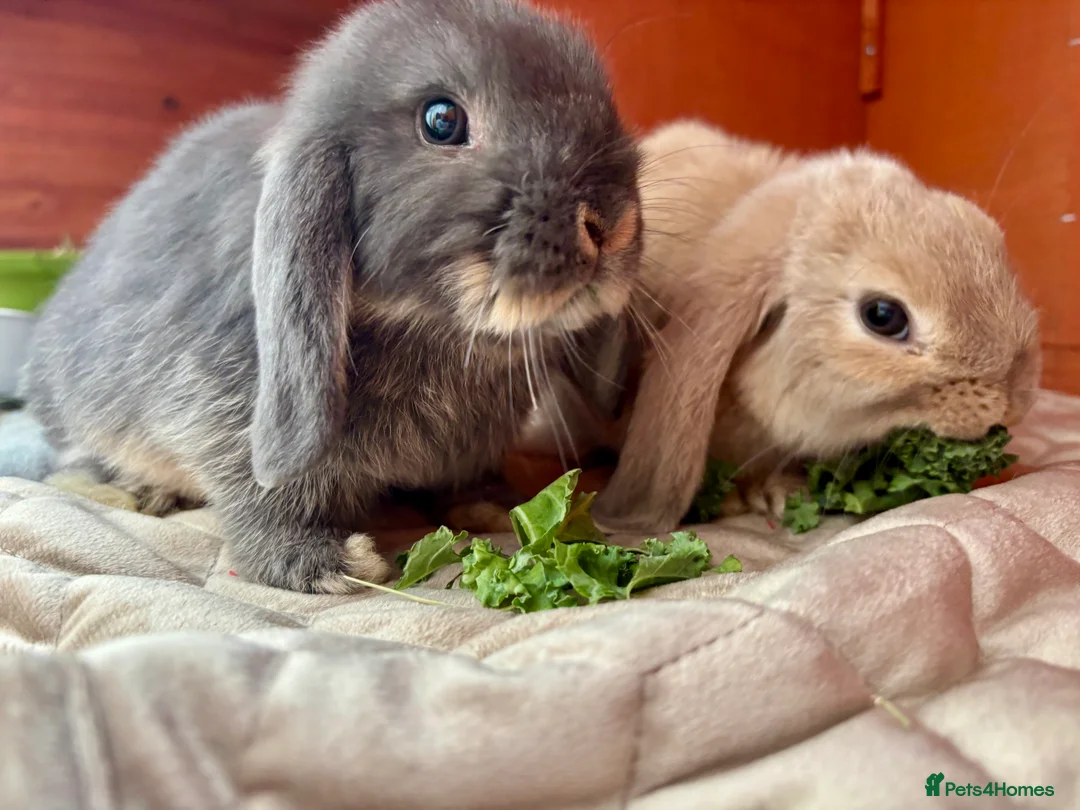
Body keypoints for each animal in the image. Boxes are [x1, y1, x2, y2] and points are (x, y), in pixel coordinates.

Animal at [19, 0, 644, 593]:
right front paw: (321, 564)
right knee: (68, 464)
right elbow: (258, 487)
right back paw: (136, 493)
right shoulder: (217, 402)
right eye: (441, 121)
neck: (434, 327)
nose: (609, 224)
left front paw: (488, 504)